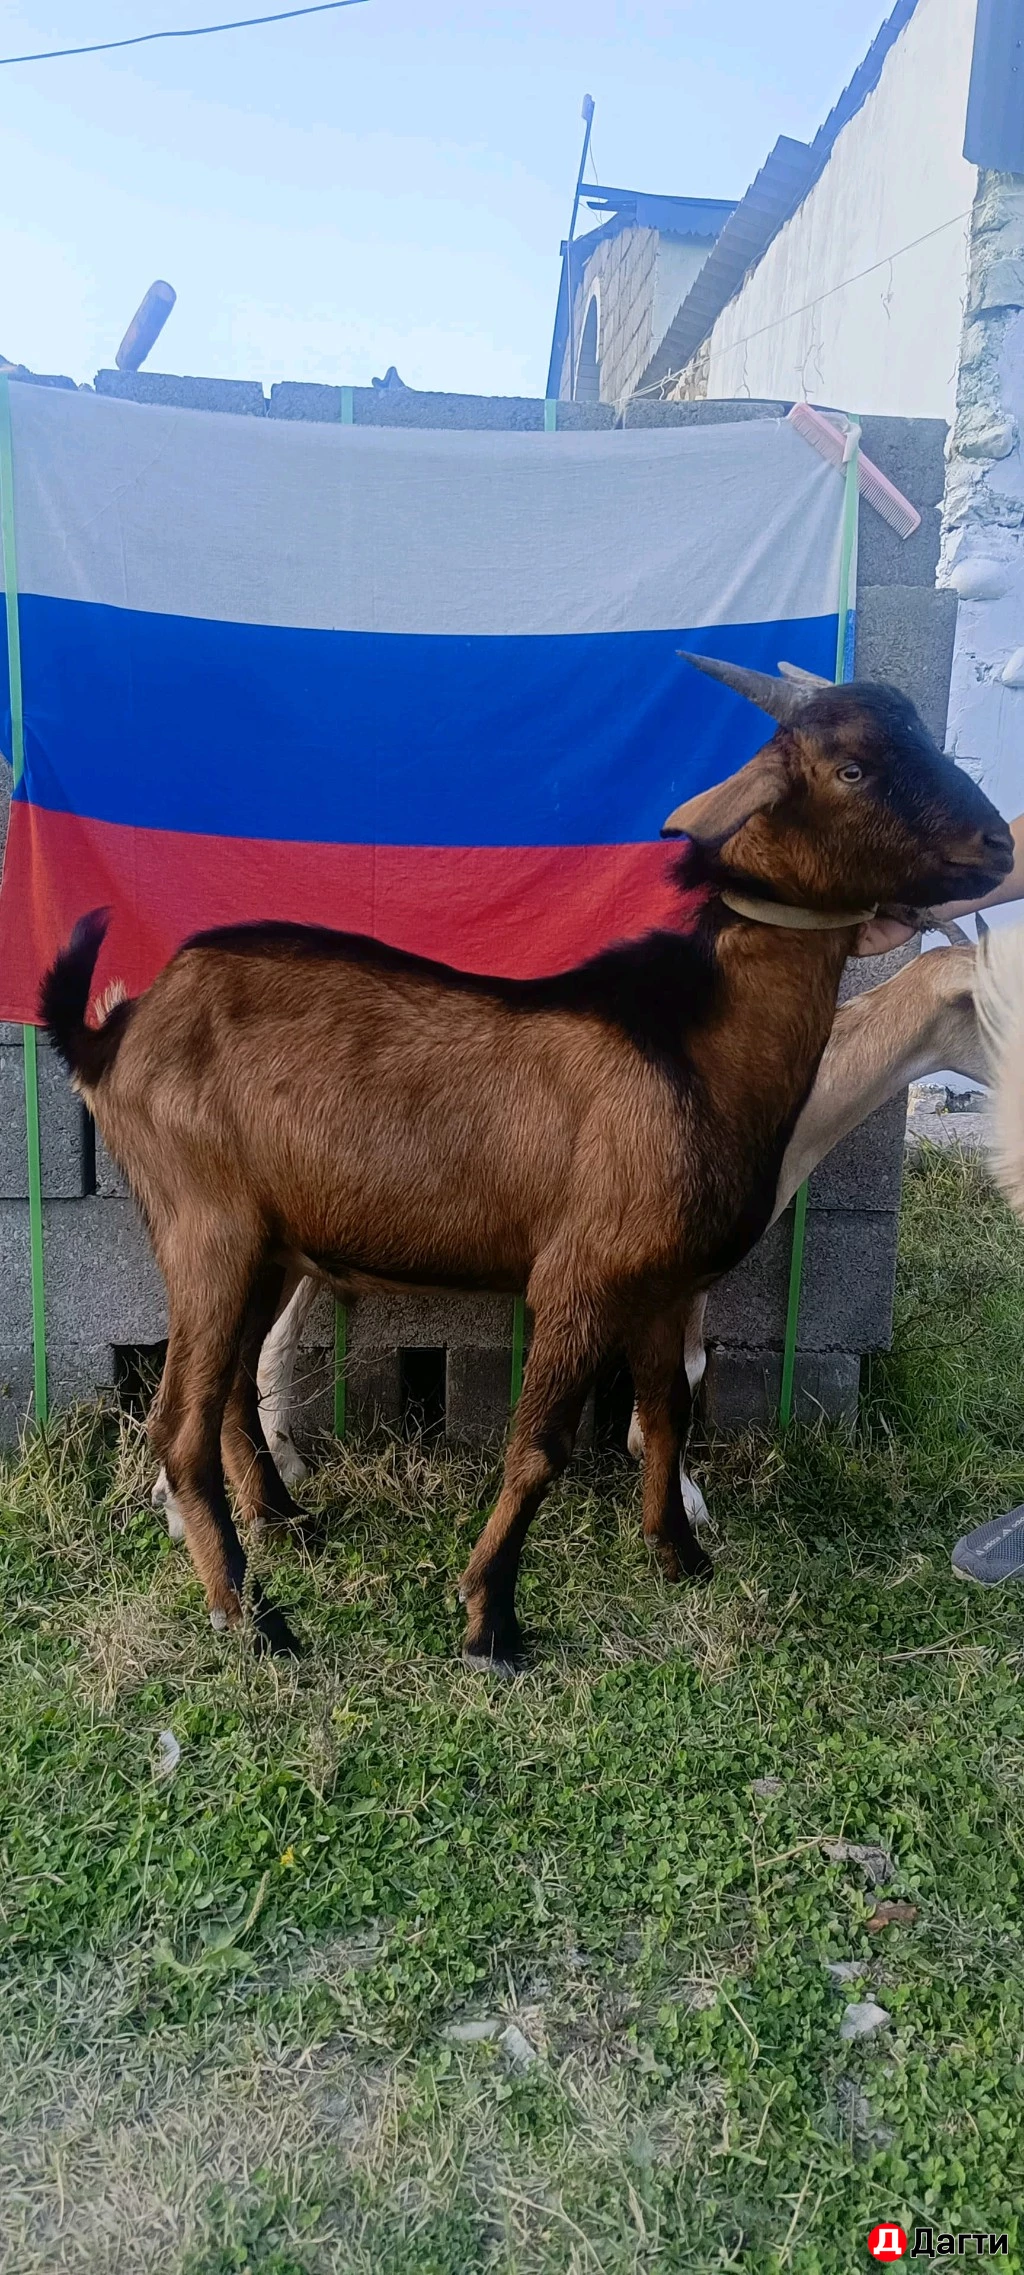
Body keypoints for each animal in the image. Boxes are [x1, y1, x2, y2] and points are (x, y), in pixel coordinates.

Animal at [42, 660, 1012, 1665]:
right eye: (852, 767)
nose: (999, 842)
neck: (693, 1046)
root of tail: (112, 1034)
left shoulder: (662, 1281)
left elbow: (668, 1410)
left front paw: (679, 1556)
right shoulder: (580, 1275)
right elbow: (540, 1445)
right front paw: (490, 1619)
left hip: (265, 1243)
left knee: (232, 1384)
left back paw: (285, 1521)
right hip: (204, 1225)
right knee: (177, 1423)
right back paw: (252, 1615)